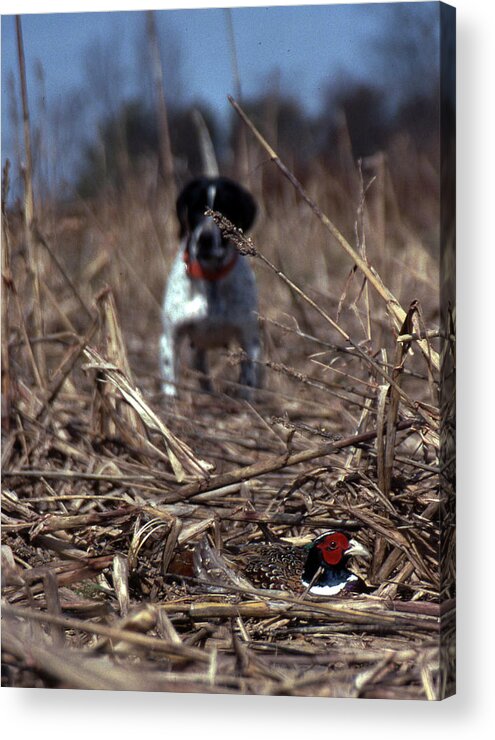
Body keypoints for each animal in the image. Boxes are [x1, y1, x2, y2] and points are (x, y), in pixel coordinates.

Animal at [161, 176, 262, 396]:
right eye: (195, 208)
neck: (211, 280)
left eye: (226, 208)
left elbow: (248, 381)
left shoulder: (249, 340)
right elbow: (170, 384)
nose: (205, 239)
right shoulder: (170, 338)